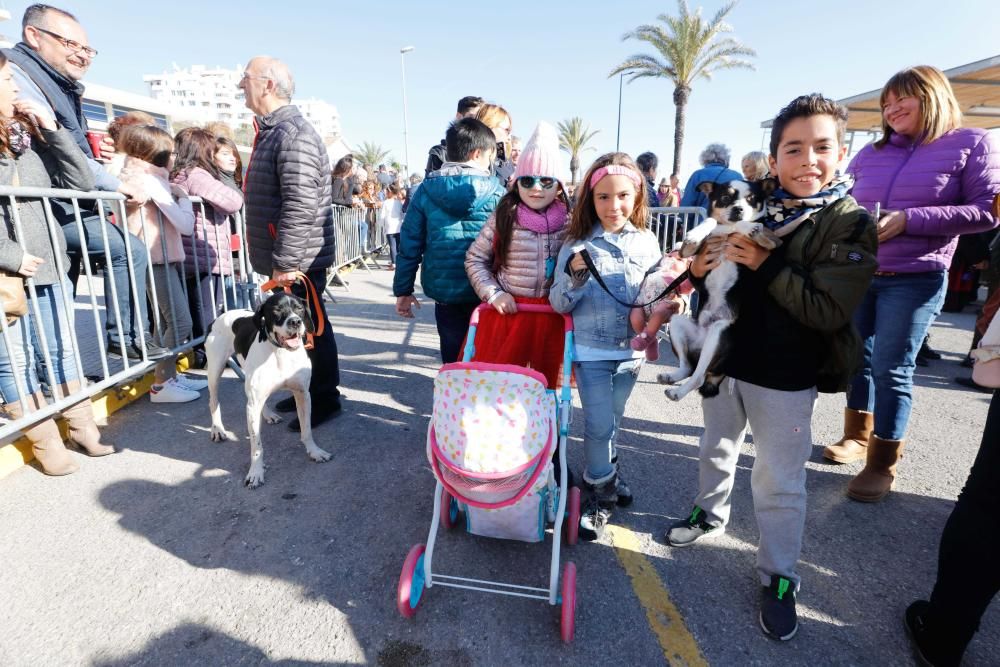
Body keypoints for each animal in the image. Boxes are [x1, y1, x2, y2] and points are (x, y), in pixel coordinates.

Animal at [204, 294, 332, 490]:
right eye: (277, 310)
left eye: (299, 308)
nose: (296, 322)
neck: (281, 353)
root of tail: (218, 317)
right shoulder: (254, 404)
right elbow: (256, 446)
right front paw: (256, 473)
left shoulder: (303, 394)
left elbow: (307, 430)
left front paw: (315, 452)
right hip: (215, 371)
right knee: (213, 401)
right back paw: (217, 429)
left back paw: (268, 414)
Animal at [656, 179, 780, 402]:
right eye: (725, 197)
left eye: (751, 199)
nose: (739, 209)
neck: (726, 233)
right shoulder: (688, 252)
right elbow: (711, 221)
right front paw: (696, 232)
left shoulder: (773, 242)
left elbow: (742, 226)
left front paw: (750, 227)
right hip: (678, 323)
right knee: (688, 367)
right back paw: (672, 378)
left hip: (718, 333)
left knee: (698, 376)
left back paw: (678, 391)